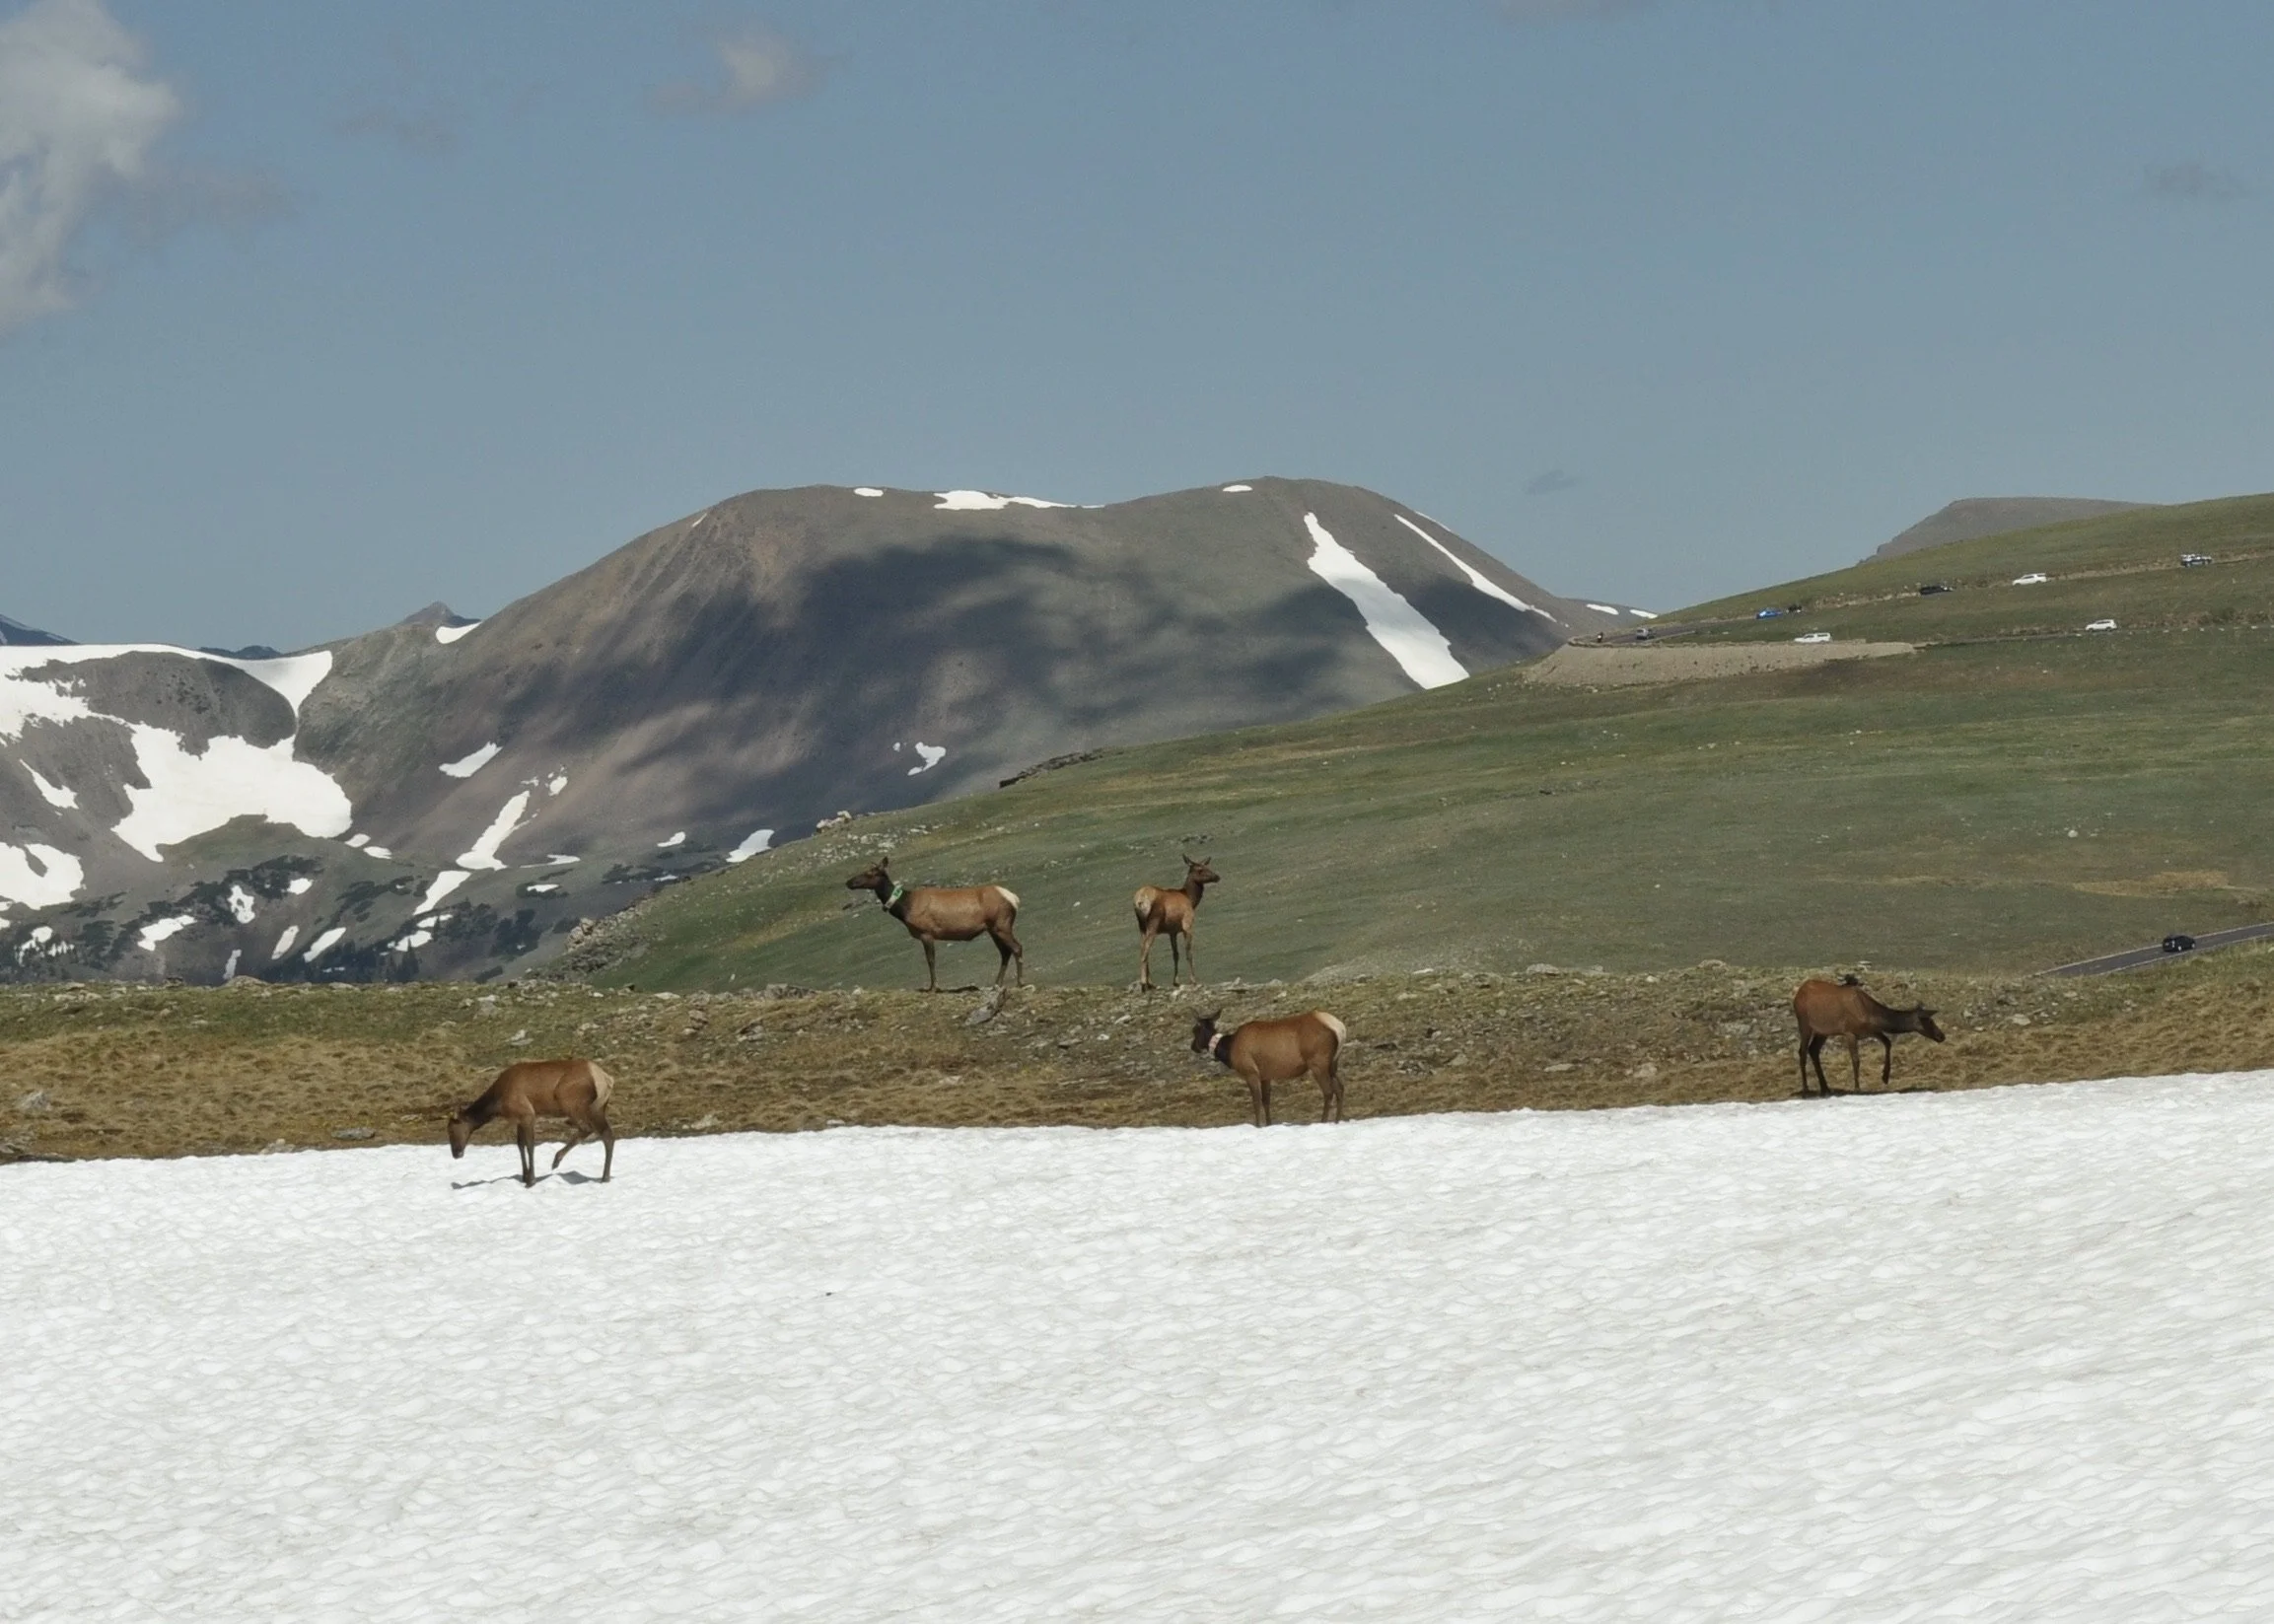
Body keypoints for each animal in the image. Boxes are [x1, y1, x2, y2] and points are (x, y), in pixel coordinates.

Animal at [447, 1058, 617, 1186]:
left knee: (592, 1129)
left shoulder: (528, 1115)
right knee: (606, 1134)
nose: (455, 1153)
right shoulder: (519, 1119)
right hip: (599, 1107)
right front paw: (524, 1176)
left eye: (451, 1129)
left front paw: (531, 1180)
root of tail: (606, 1078)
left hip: (572, 1102)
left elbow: (530, 1146)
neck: (497, 1103)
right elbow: (520, 1145)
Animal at [846, 856, 1024, 992]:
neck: (904, 907)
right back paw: (997, 984)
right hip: (992, 929)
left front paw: (933, 988)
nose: (849, 882)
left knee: (1016, 947)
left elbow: (930, 960)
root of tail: (1014, 899)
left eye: (870, 873)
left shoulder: (926, 933)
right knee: (1005, 952)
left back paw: (1019, 983)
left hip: (1001, 925)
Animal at [1134, 854, 1220, 990]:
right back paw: (1144, 983)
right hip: (1154, 922)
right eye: (1200, 869)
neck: (1191, 899)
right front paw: (1193, 980)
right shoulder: (1187, 924)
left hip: (1141, 925)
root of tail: (1139, 900)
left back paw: (1150, 982)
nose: (1217, 876)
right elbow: (1188, 952)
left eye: (1208, 866)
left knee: (1142, 947)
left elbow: (1176, 954)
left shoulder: (1172, 931)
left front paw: (1176, 981)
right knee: (1146, 949)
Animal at [1192, 1007, 1346, 1127]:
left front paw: (1258, 1125)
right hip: (1333, 1064)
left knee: (1328, 1091)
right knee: (1340, 1088)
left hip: (1318, 1062)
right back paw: (1337, 1121)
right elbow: (1266, 1100)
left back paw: (1323, 1121)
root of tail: (1340, 1028)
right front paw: (1268, 1124)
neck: (1229, 1050)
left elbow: (1256, 1100)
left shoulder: (1250, 1072)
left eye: (1194, 1030)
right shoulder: (1266, 1075)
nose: (1193, 1047)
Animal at [1792, 977, 1945, 1096]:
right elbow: (1856, 1060)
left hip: (1823, 1031)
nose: (1941, 1035)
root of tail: (1797, 994)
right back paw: (1806, 1089)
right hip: (1804, 1023)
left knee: (1813, 1050)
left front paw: (1885, 1076)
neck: (1871, 1014)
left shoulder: (1871, 1031)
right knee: (1802, 1051)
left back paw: (1825, 1089)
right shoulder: (1849, 1032)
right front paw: (1857, 1088)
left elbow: (1888, 1042)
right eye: (1929, 1021)